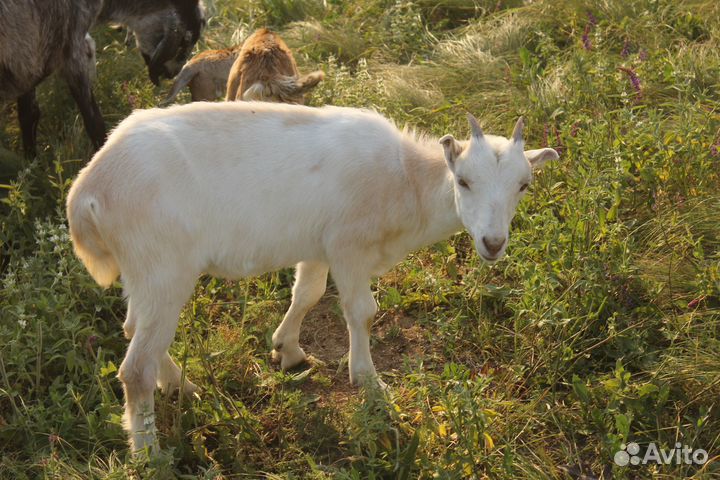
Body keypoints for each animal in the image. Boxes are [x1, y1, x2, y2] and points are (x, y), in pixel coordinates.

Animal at [0, 0, 204, 157]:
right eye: (185, 41)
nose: (173, 74)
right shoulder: (74, 50)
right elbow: (94, 121)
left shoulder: (29, 58)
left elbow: (28, 114)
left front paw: (31, 163)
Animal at [66, 101, 559, 452]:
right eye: (464, 181)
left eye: (524, 185)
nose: (493, 243)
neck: (406, 180)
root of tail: (87, 192)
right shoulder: (348, 245)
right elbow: (361, 311)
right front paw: (370, 383)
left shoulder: (317, 247)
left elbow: (307, 293)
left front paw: (287, 350)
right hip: (163, 265)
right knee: (135, 368)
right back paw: (151, 454)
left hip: (145, 273)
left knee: (135, 329)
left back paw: (181, 386)